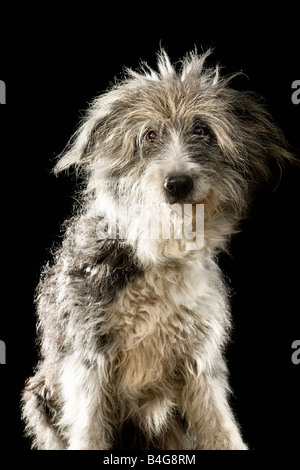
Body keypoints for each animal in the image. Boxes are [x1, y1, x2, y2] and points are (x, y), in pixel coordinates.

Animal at [21, 49, 292, 450]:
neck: (161, 249)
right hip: (39, 394)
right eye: (149, 135)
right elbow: (89, 429)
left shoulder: (200, 359)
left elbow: (219, 426)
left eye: (202, 130)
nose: (177, 183)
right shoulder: (88, 361)